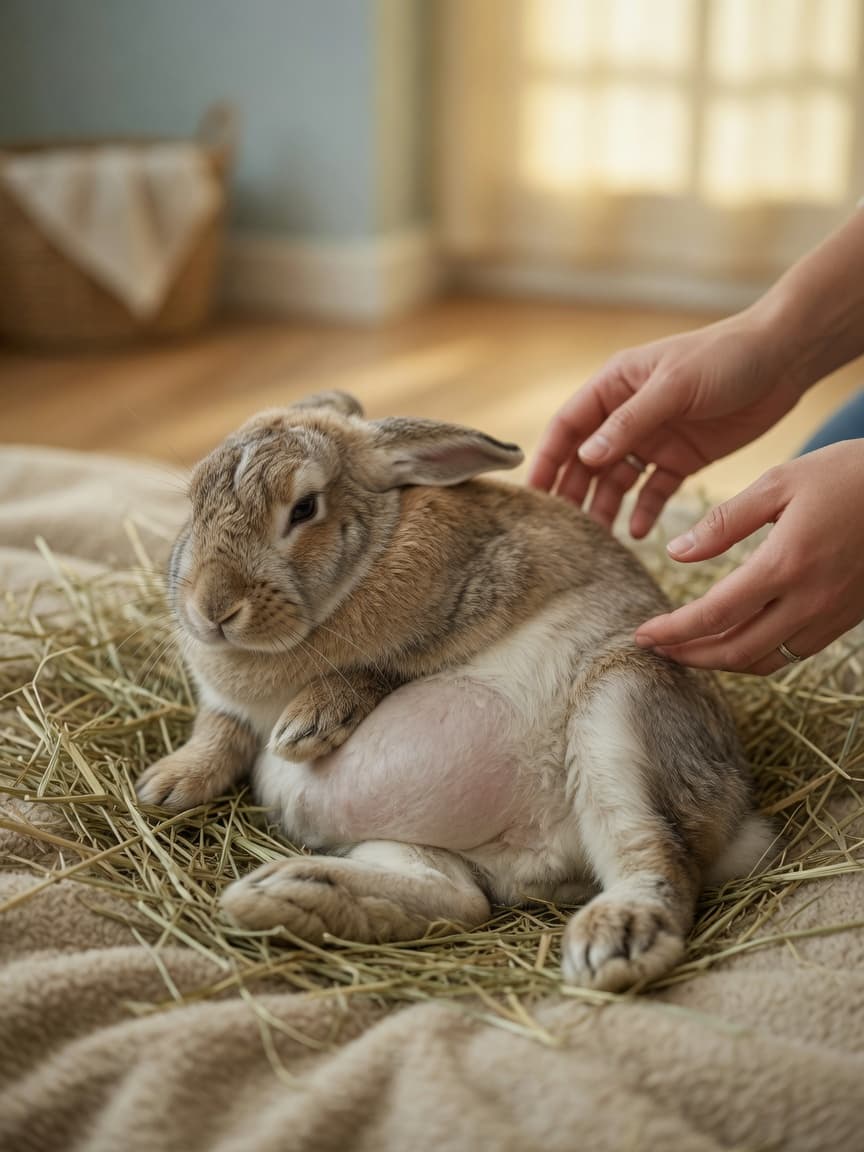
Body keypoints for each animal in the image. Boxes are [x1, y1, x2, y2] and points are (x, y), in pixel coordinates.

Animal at [136, 390, 772, 992]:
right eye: (192, 502)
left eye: (305, 507)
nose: (211, 609)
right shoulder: (225, 710)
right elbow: (218, 730)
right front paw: (164, 788)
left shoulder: (476, 599)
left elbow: (379, 671)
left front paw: (306, 724)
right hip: (406, 833)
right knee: (459, 898)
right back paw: (291, 893)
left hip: (621, 704)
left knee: (658, 859)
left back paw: (617, 939)